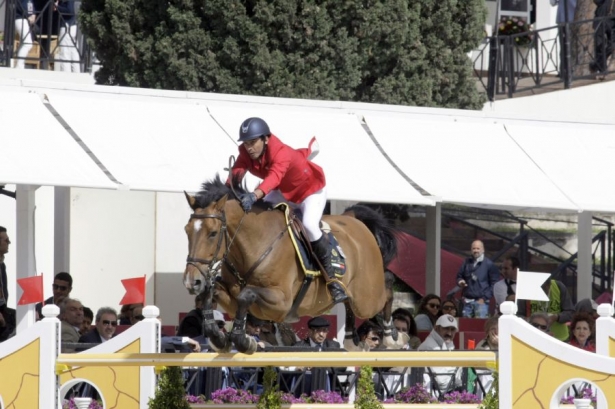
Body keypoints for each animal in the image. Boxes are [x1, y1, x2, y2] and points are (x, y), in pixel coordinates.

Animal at [182, 175, 404, 354]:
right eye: (186, 230)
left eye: (212, 233)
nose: (191, 282)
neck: (253, 245)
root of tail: (354, 221)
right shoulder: (232, 299)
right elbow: (211, 292)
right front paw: (218, 338)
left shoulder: (280, 304)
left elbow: (247, 295)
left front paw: (243, 341)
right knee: (349, 300)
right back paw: (350, 338)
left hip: (367, 298)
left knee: (386, 285)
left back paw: (390, 336)